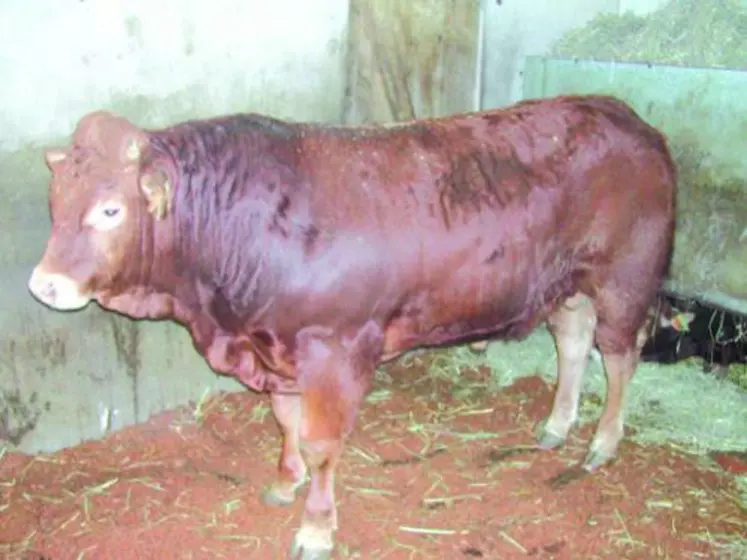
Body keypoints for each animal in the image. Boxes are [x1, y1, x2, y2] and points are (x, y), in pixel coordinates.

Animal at [26, 94, 676, 556]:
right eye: (55, 202)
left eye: (110, 209)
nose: (44, 284)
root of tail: (624, 115)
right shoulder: (277, 345)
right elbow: (285, 421)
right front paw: (284, 480)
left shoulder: (333, 351)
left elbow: (321, 445)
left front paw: (316, 528)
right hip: (565, 282)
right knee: (574, 342)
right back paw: (556, 426)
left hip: (625, 276)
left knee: (619, 355)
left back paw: (601, 444)